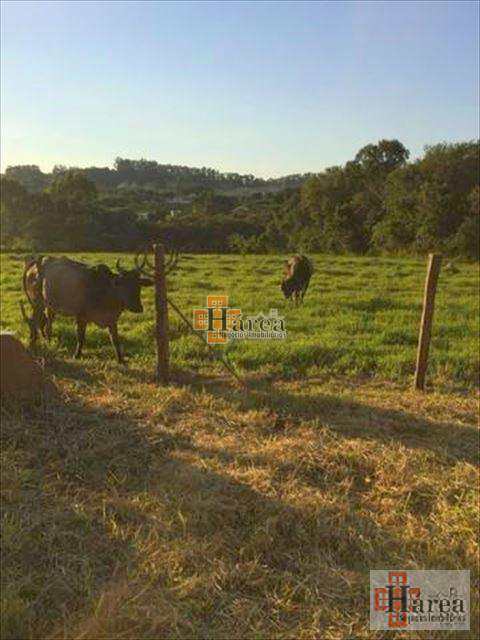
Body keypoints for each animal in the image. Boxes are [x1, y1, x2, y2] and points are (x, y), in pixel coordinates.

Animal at [22, 255, 175, 364]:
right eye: (123, 284)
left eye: (138, 286)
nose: (137, 307)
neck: (106, 291)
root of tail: (36, 262)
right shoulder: (81, 317)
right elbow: (81, 338)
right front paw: (77, 355)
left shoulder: (112, 320)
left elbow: (115, 340)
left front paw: (121, 359)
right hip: (38, 303)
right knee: (37, 322)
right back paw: (38, 342)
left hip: (47, 306)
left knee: (44, 323)